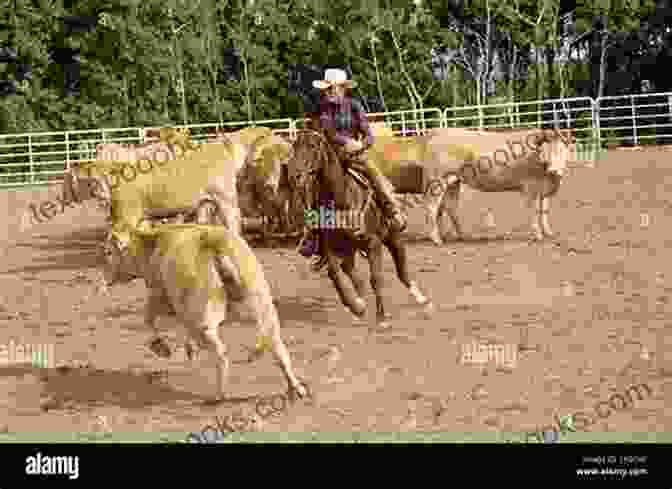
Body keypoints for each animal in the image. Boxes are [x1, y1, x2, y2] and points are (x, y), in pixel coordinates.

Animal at [101, 223, 308, 402]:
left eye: (108, 252)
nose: (104, 280)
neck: (153, 245)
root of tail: (216, 243)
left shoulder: (158, 293)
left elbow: (148, 318)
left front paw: (161, 347)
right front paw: (188, 349)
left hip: (204, 321)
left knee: (221, 353)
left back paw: (219, 395)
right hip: (262, 304)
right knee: (277, 346)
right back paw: (295, 388)